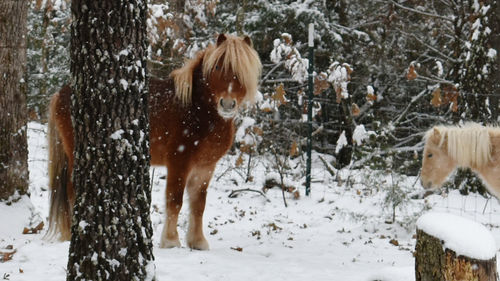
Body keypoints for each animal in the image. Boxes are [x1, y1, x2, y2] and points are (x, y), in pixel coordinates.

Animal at [47, 34, 262, 248]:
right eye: (217, 67)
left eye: (242, 72)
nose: (227, 104)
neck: (196, 109)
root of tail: (60, 93)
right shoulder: (178, 161)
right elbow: (175, 200)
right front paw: (171, 241)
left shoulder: (205, 167)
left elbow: (198, 204)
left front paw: (198, 242)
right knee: (72, 190)